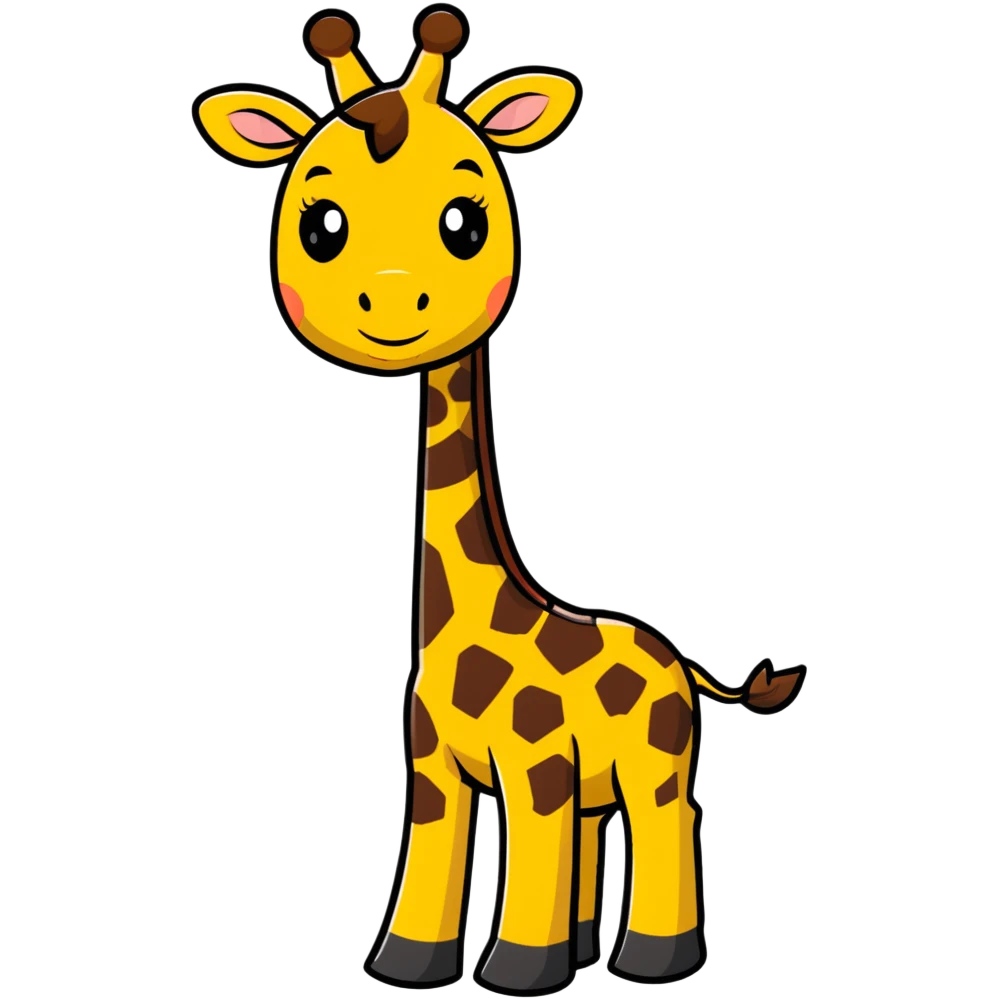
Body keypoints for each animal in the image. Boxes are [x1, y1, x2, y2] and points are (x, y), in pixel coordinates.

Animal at [191, 6, 808, 995]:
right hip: (605, 780)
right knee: (602, 832)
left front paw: (519, 971)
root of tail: (676, 653)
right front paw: (408, 964)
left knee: (666, 818)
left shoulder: (536, 766)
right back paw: (594, 949)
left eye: (464, 221)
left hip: (659, 758)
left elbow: (531, 854)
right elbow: (430, 862)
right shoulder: (431, 771)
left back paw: (653, 960)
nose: (391, 303)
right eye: (322, 225)